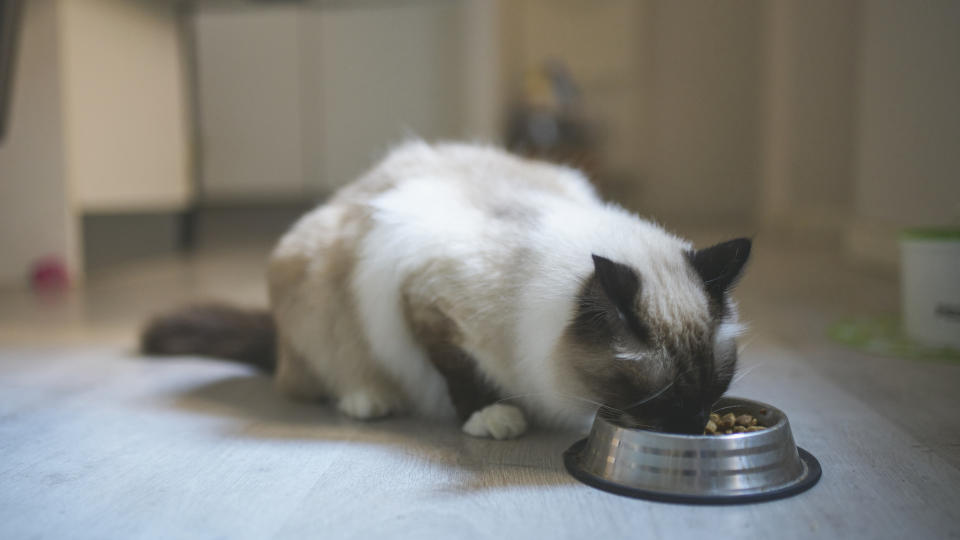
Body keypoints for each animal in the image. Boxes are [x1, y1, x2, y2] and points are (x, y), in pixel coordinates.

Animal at [144, 142, 752, 438]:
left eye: (715, 389)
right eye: (663, 399)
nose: (695, 425)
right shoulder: (423, 294)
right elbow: (459, 370)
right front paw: (492, 417)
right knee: (321, 381)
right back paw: (367, 400)